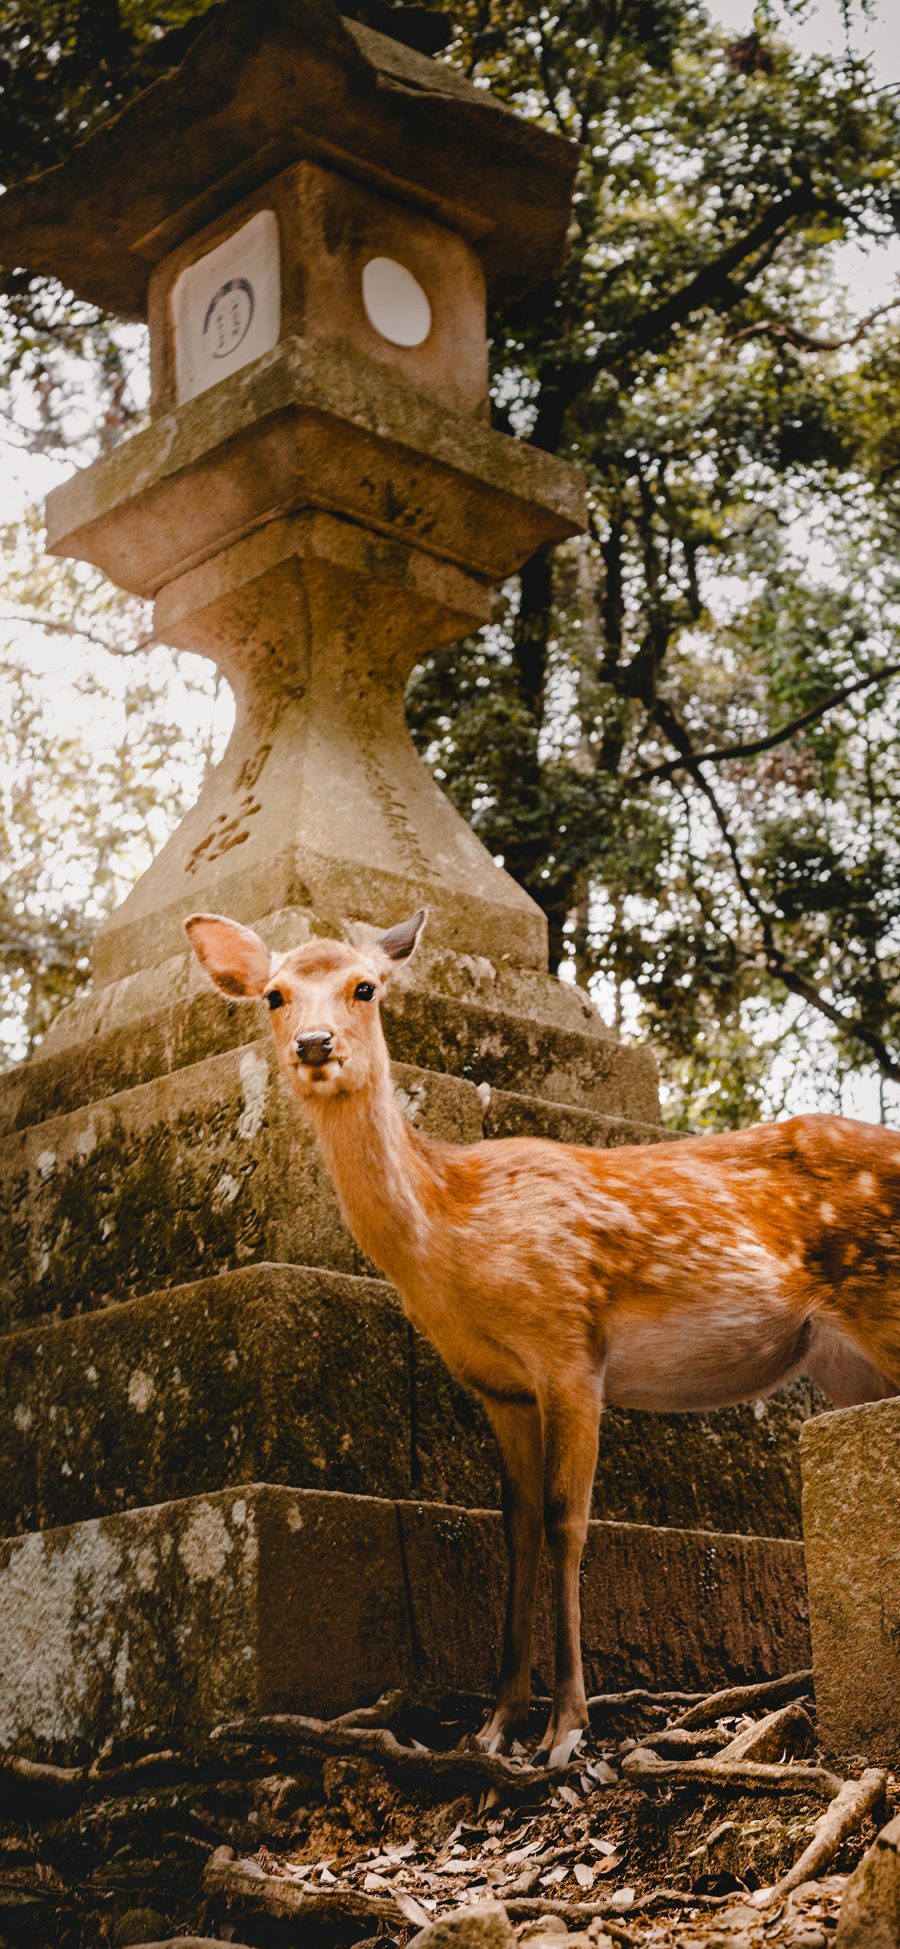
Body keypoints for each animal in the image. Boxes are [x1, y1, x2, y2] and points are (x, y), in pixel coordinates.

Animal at [183, 904, 900, 1777]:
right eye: (275, 994)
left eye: (365, 986)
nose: (315, 1045)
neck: (455, 1233)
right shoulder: (499, 1385)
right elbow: (516, 1527)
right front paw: (494, 1725)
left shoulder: (570, 1346)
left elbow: (566, 1521)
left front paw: (567, 1728)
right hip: (846, 1361)